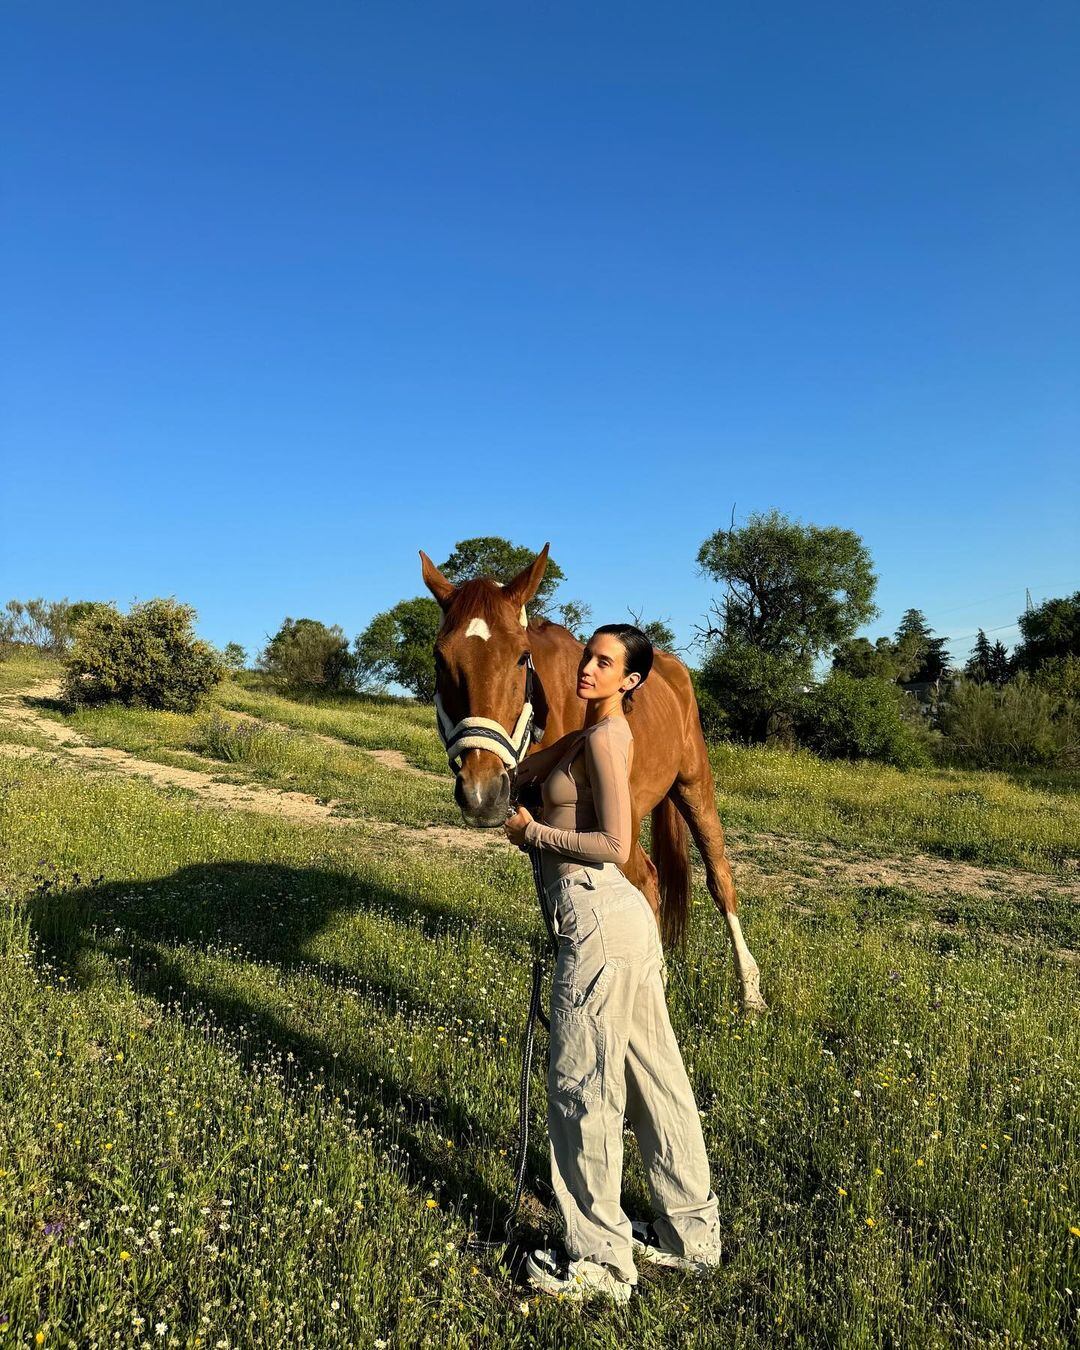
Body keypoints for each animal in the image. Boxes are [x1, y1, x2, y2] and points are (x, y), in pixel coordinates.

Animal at [415, 537, 766, 1015]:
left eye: (521, 657)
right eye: (439, 658)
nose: (482, 792)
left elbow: (646, 888)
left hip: (694, 789)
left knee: (716, 877)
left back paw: (749, 991)